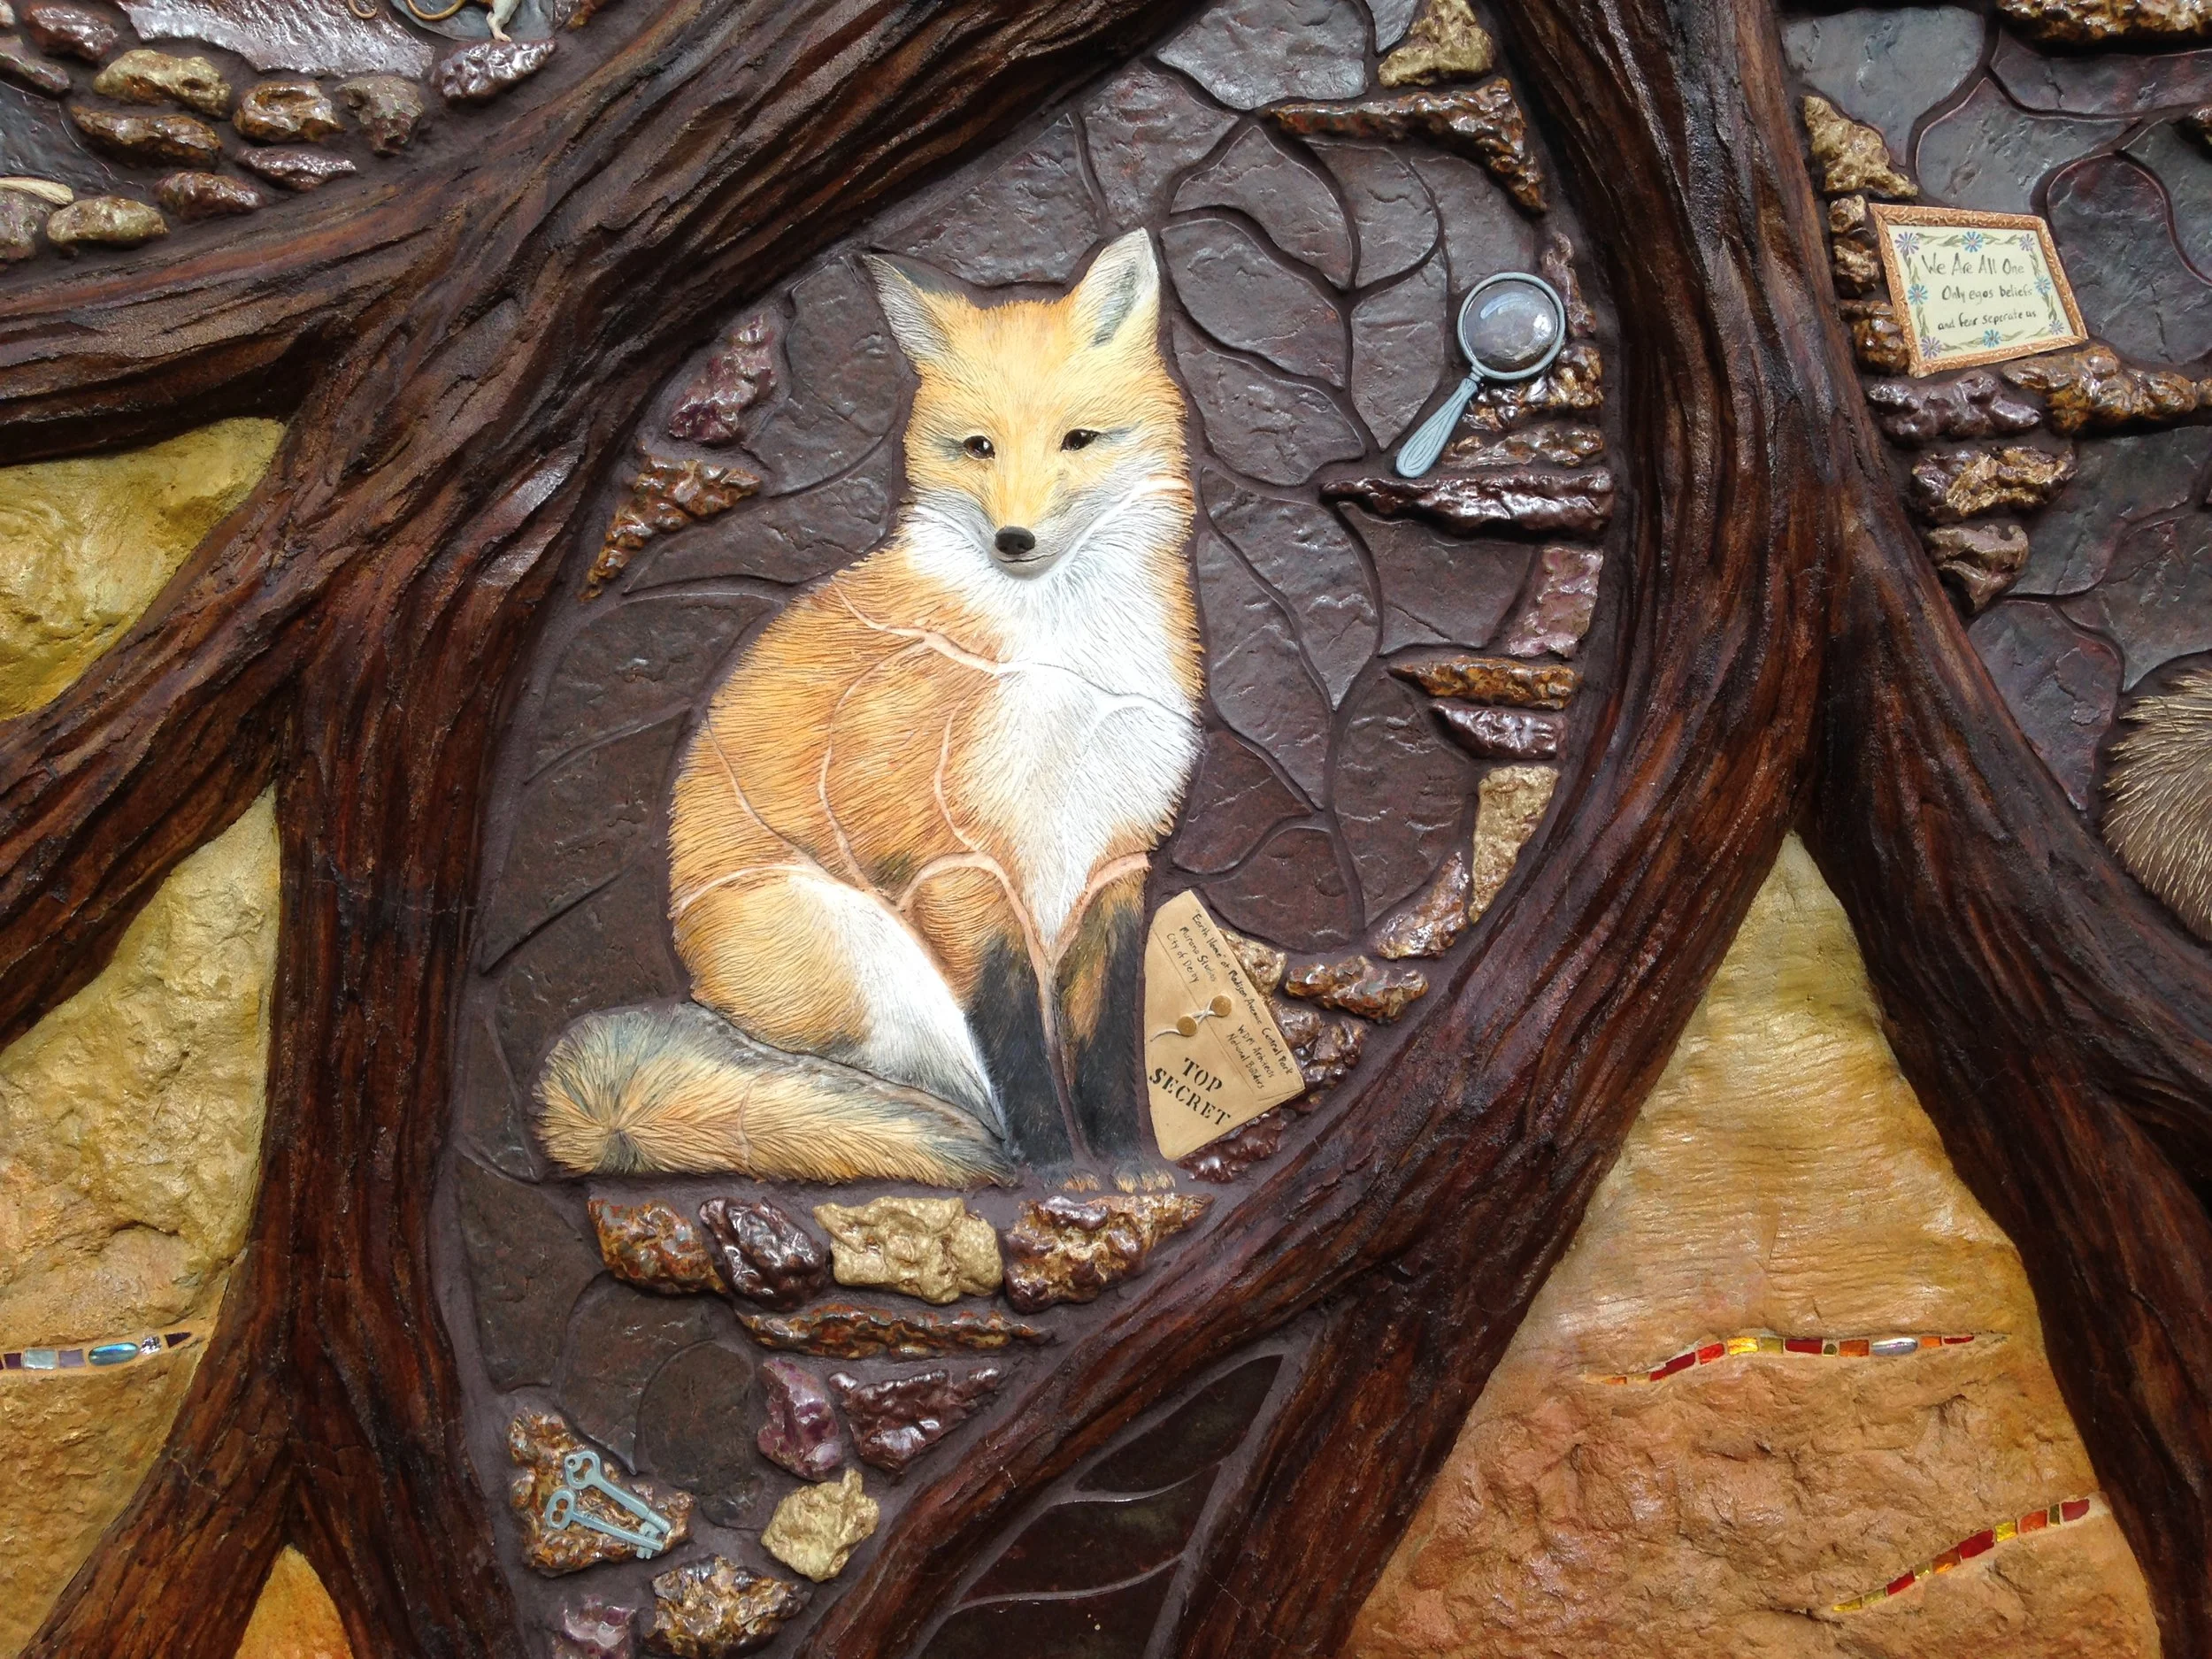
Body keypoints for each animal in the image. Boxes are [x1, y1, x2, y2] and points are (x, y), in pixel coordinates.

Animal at [536, 229, 1204, 1189]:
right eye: (977, 447)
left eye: (1079, 439)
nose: (1014, 541)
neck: (1062, 660)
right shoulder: (952, 863)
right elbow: (1019, 1049)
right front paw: (1059, 1170)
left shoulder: (1111, 857)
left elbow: (1105, 1040)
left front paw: (1130, 1165)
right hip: (877, 959)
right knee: (937, 1087)